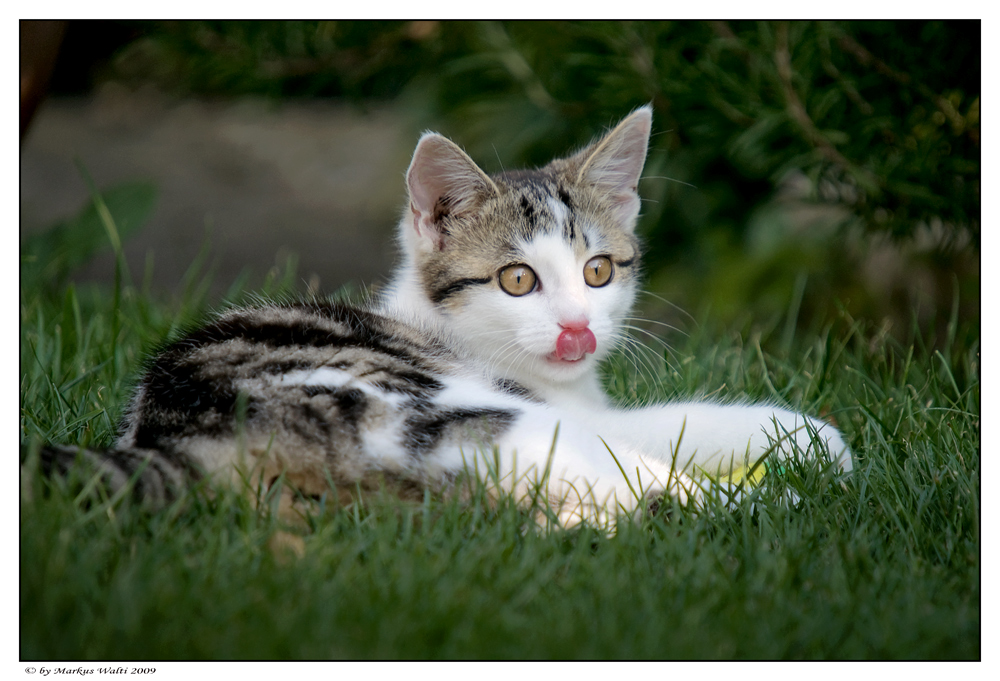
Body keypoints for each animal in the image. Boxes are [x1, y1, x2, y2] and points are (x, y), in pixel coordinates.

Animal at [31, 106, 848, 528]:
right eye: (517, 279)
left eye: (599, 270)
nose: (578, 330)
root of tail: (193, 441)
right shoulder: (548, 404)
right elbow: (656, 426)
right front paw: (816, 443)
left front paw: (803, 436)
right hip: (455, 411)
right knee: (626, 489)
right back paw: (770, 500)